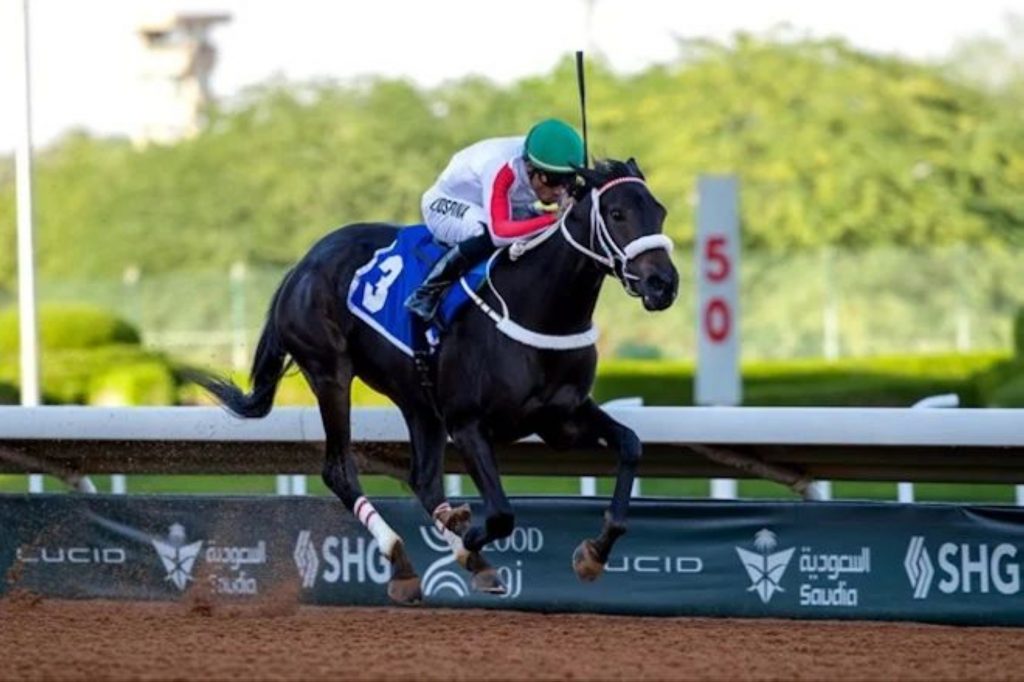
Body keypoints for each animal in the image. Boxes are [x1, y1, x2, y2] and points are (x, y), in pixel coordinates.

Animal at [191, 158, 679, 604]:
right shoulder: (467, 424)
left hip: (418, 400)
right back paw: (405, 559)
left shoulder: (563, 420)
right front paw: (464, 544)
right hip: (330, 372)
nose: (663, 284)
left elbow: (631, 445)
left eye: (659, 210)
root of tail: (304, 263)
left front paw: (593, 554)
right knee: (340, 471)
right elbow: (500, 514)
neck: (537, 307)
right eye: (616, 213)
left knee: (423, 478)